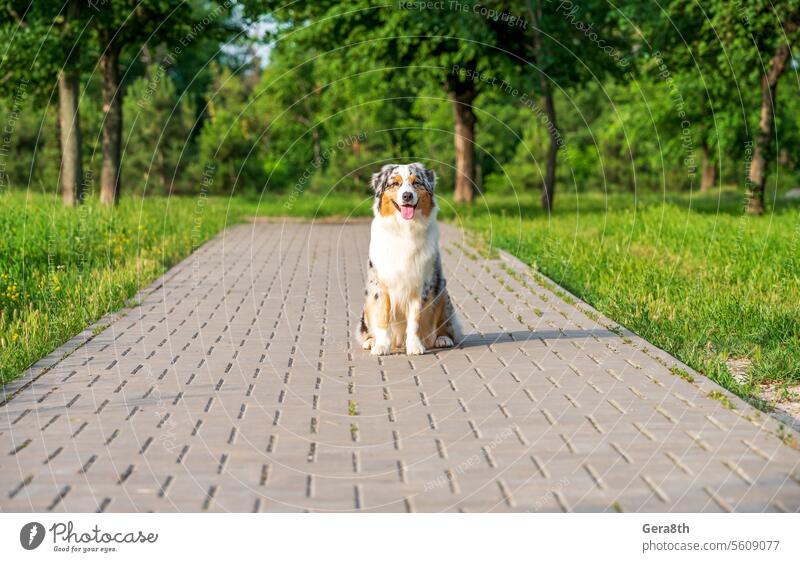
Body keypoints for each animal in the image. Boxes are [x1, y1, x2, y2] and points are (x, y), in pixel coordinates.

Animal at [358, 162, 462, 354]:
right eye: (394, 183)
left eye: (416, 183)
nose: (407, 195)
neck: (405, 229)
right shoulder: (380, 284)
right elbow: (383, 317)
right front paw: (381, 346)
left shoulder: (420, 284)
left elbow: (415, 320)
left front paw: (414, 346)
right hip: (368, 300)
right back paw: (370, 341)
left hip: (442, 292)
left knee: (447, 325)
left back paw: (443, 338)